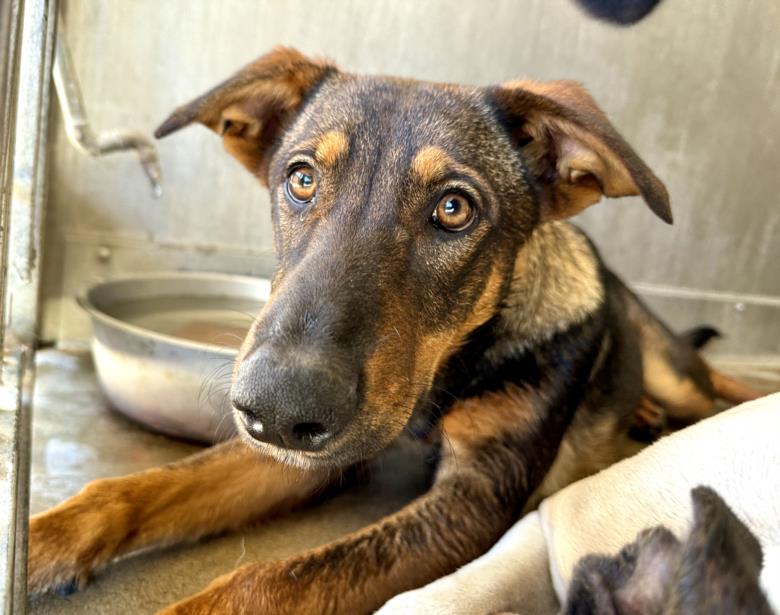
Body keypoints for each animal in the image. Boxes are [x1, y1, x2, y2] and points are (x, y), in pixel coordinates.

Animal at [27, 50, 760, 612]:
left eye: (454, 209)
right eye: (300, 179)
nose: (275, 409)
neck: (446, 377)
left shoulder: (471, 504)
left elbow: (266, 580)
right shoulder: (307, 451)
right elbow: (131, 488)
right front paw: (34, 542)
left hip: (676, 371)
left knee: (716, 385)